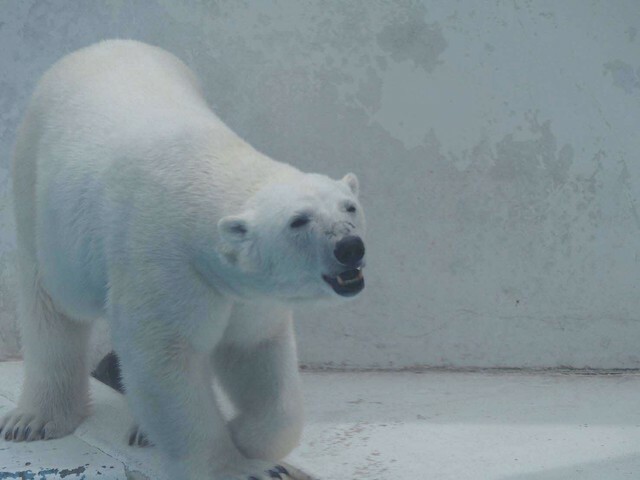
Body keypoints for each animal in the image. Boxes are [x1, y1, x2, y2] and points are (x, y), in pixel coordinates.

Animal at [1, 41, 364, 480]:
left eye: (350, 206)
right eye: (299, 221)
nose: (350, 247)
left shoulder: (245, 295)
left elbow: (255, 351)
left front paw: (244, 435)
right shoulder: (163, 264)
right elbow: (164, 362)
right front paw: (240, 467)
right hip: (41, 197)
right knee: (51, 306)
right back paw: (36, 419)